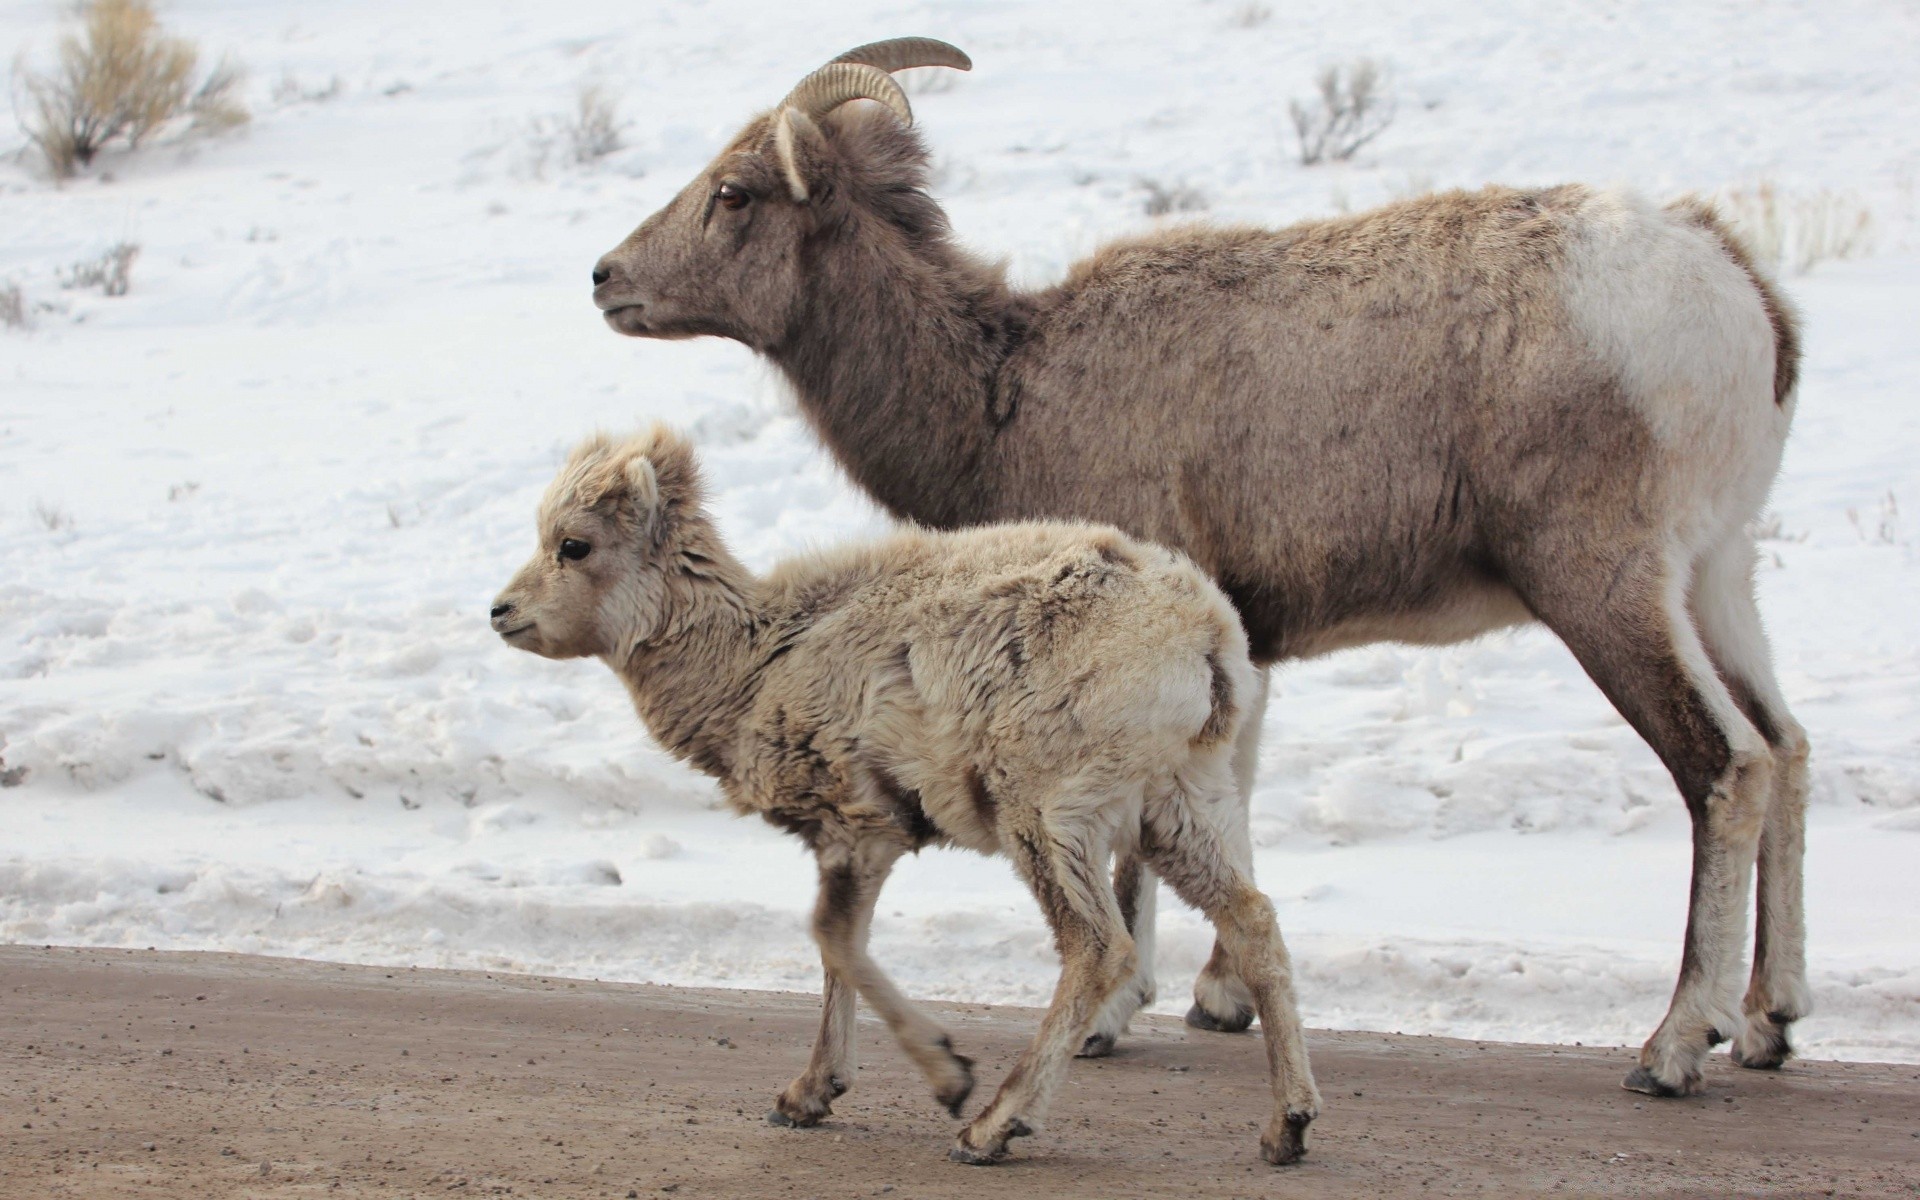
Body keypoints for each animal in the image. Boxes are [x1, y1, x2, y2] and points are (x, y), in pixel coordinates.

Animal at [487, 428, 1320, 1159]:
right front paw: (808, 1097)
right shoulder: (848, 843)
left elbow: (833, 939)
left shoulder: (862, 829)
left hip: (1052, 817)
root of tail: (1206, 641)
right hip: (1182, 810)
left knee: (1098, 948)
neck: (758, 660)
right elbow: (836, 950)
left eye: (573, 545)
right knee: (1255, 922)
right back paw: (1288, 1128)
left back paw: (992, 1128)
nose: (501, 612)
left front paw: (945, 1077)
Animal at [587, 37, 1812, 1105]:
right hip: (1717, 578)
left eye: (736, 192)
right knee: (1790, 746)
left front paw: (1116, 1016)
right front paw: (1221, 1002)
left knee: (1726, 766)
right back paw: (1771, 1023)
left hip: (1604, 588)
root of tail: (1739, 294)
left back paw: (1673, 1049)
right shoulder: (1243, 651)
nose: (605, 278)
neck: (1003, 392)